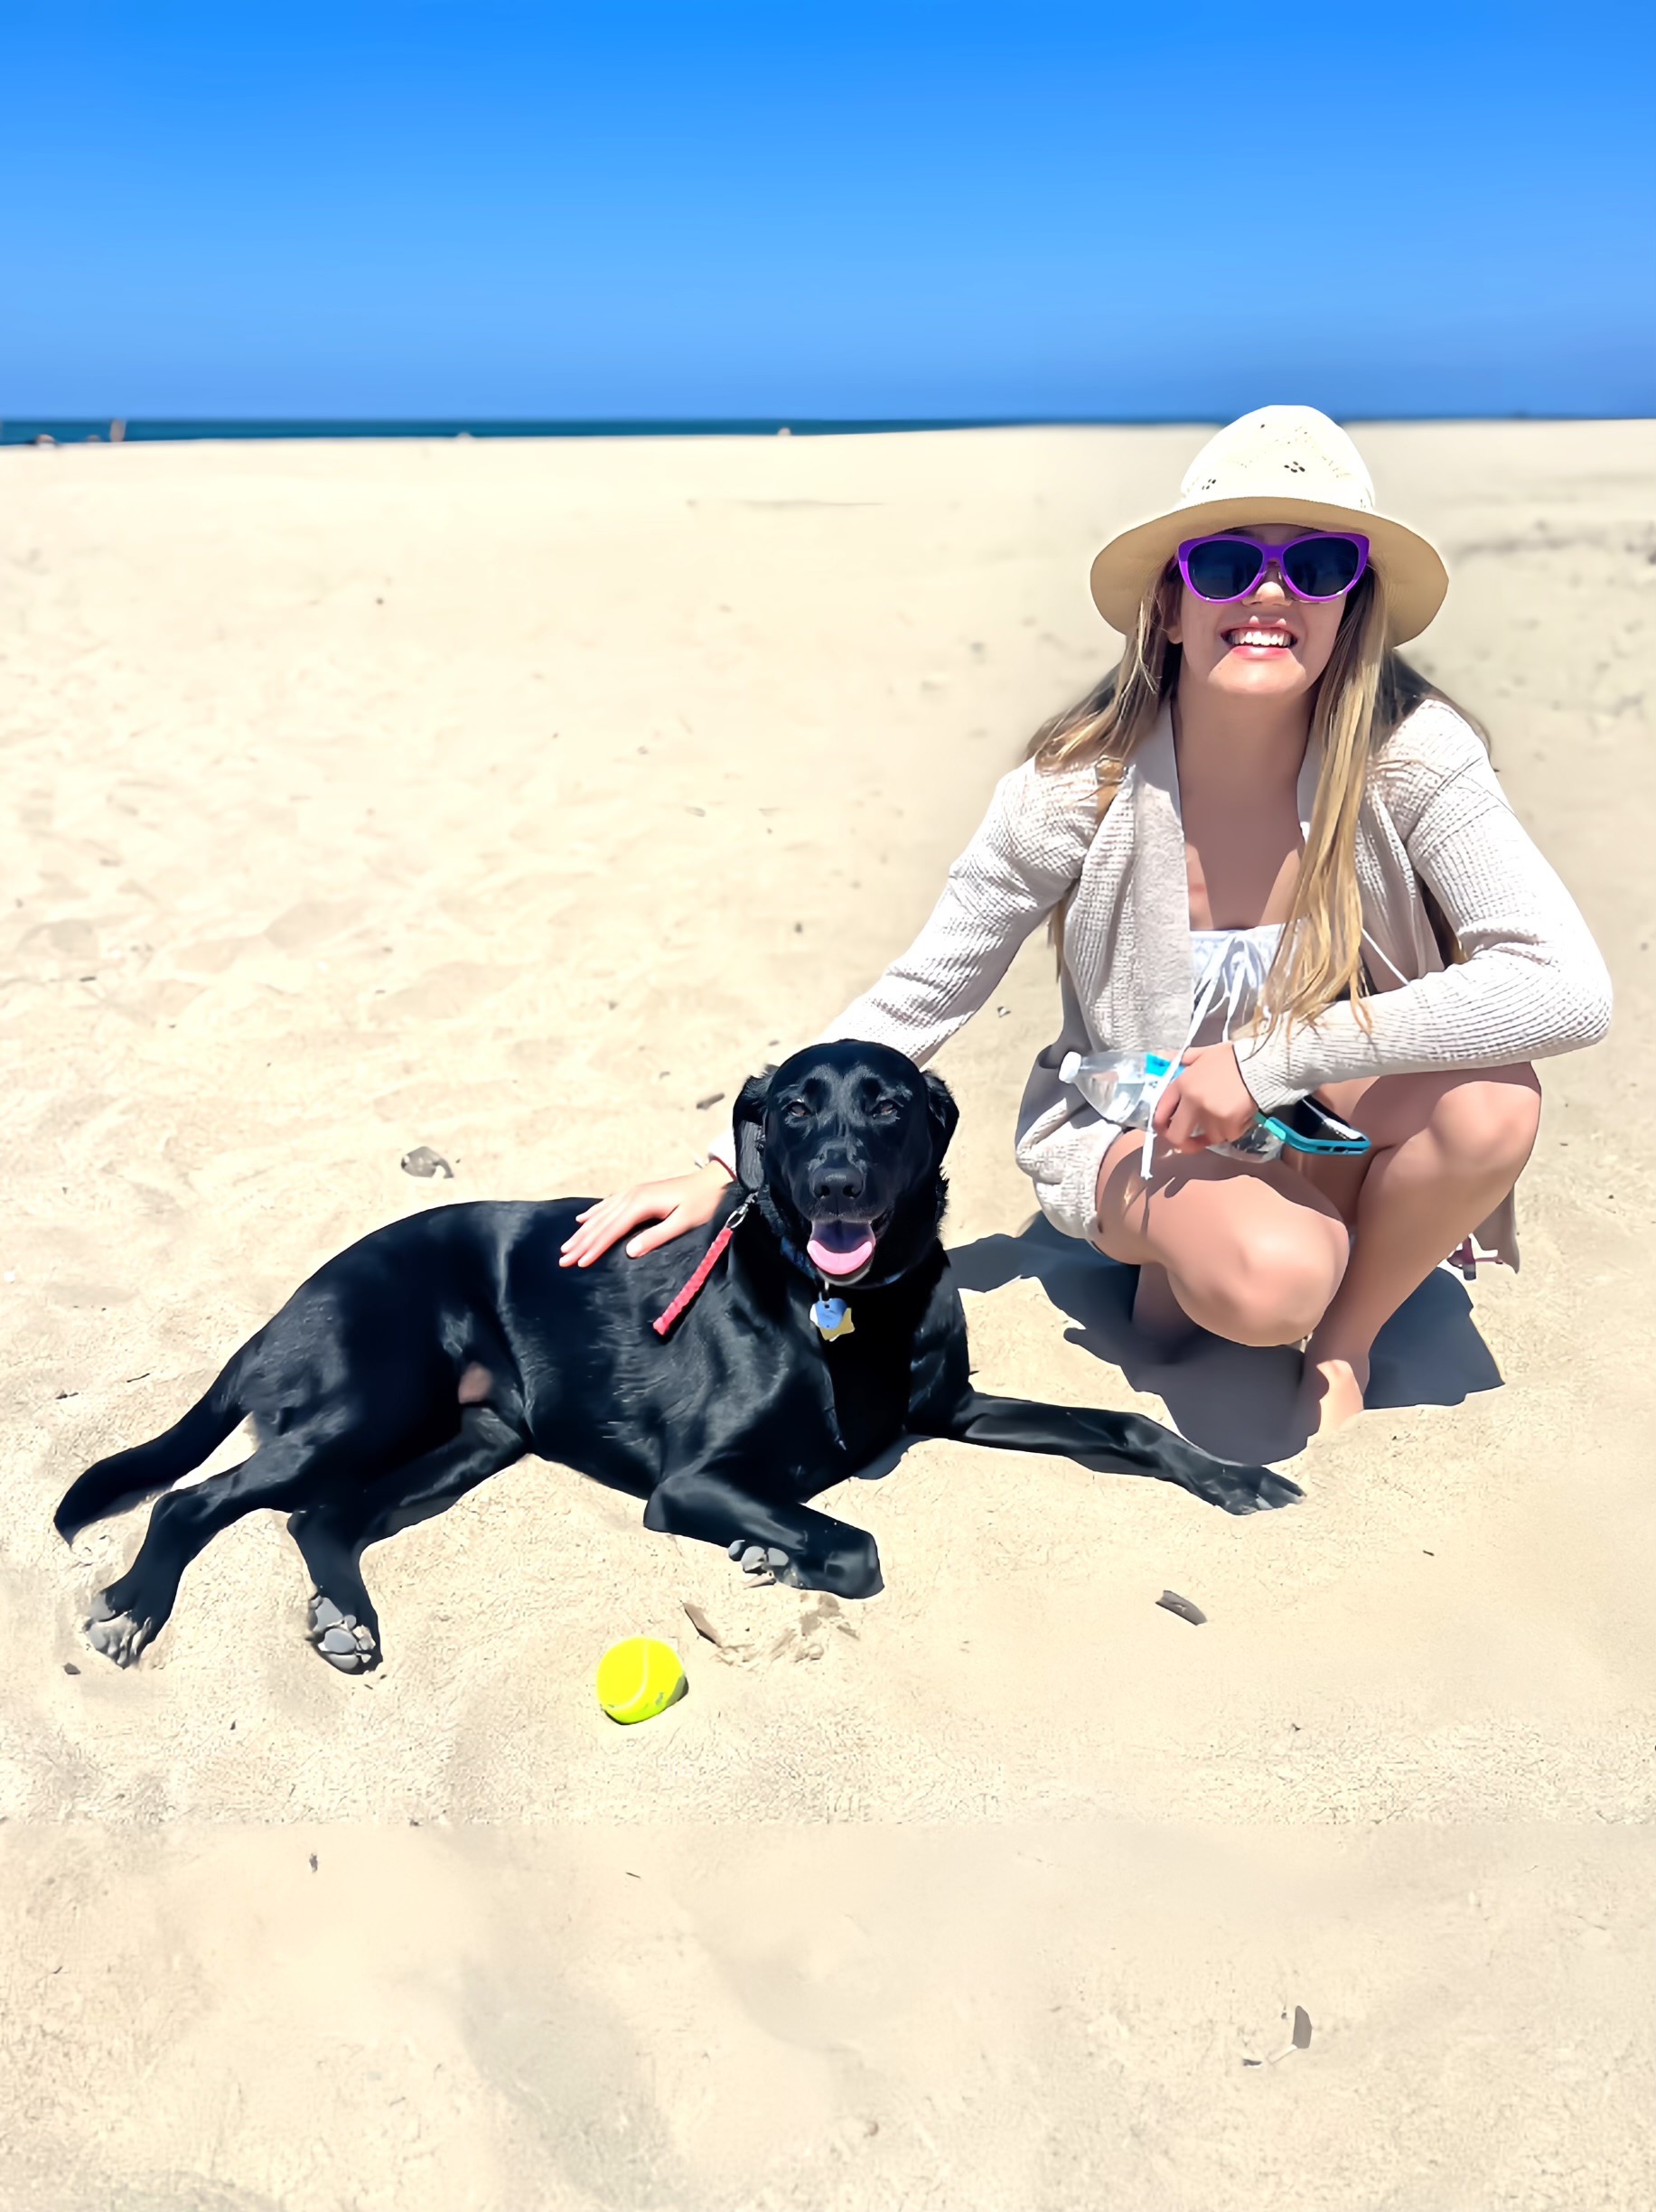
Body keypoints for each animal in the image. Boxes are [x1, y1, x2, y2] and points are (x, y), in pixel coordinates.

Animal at [56, 1040, 1299, 1672]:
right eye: (793, 1109)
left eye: (888, 1106)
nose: (836, 1185)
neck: (836, 1305)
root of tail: (289, 1302)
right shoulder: (694, 1480)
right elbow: (857, 1545)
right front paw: (777, 1559)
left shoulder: (954, 1407)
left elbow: (1121, 1423)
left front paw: (1231, 1476)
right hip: (368, 1402)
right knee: (195, 1499)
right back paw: (134, 1607)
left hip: (473, 1438)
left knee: (323, 1518)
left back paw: (346, 1620)